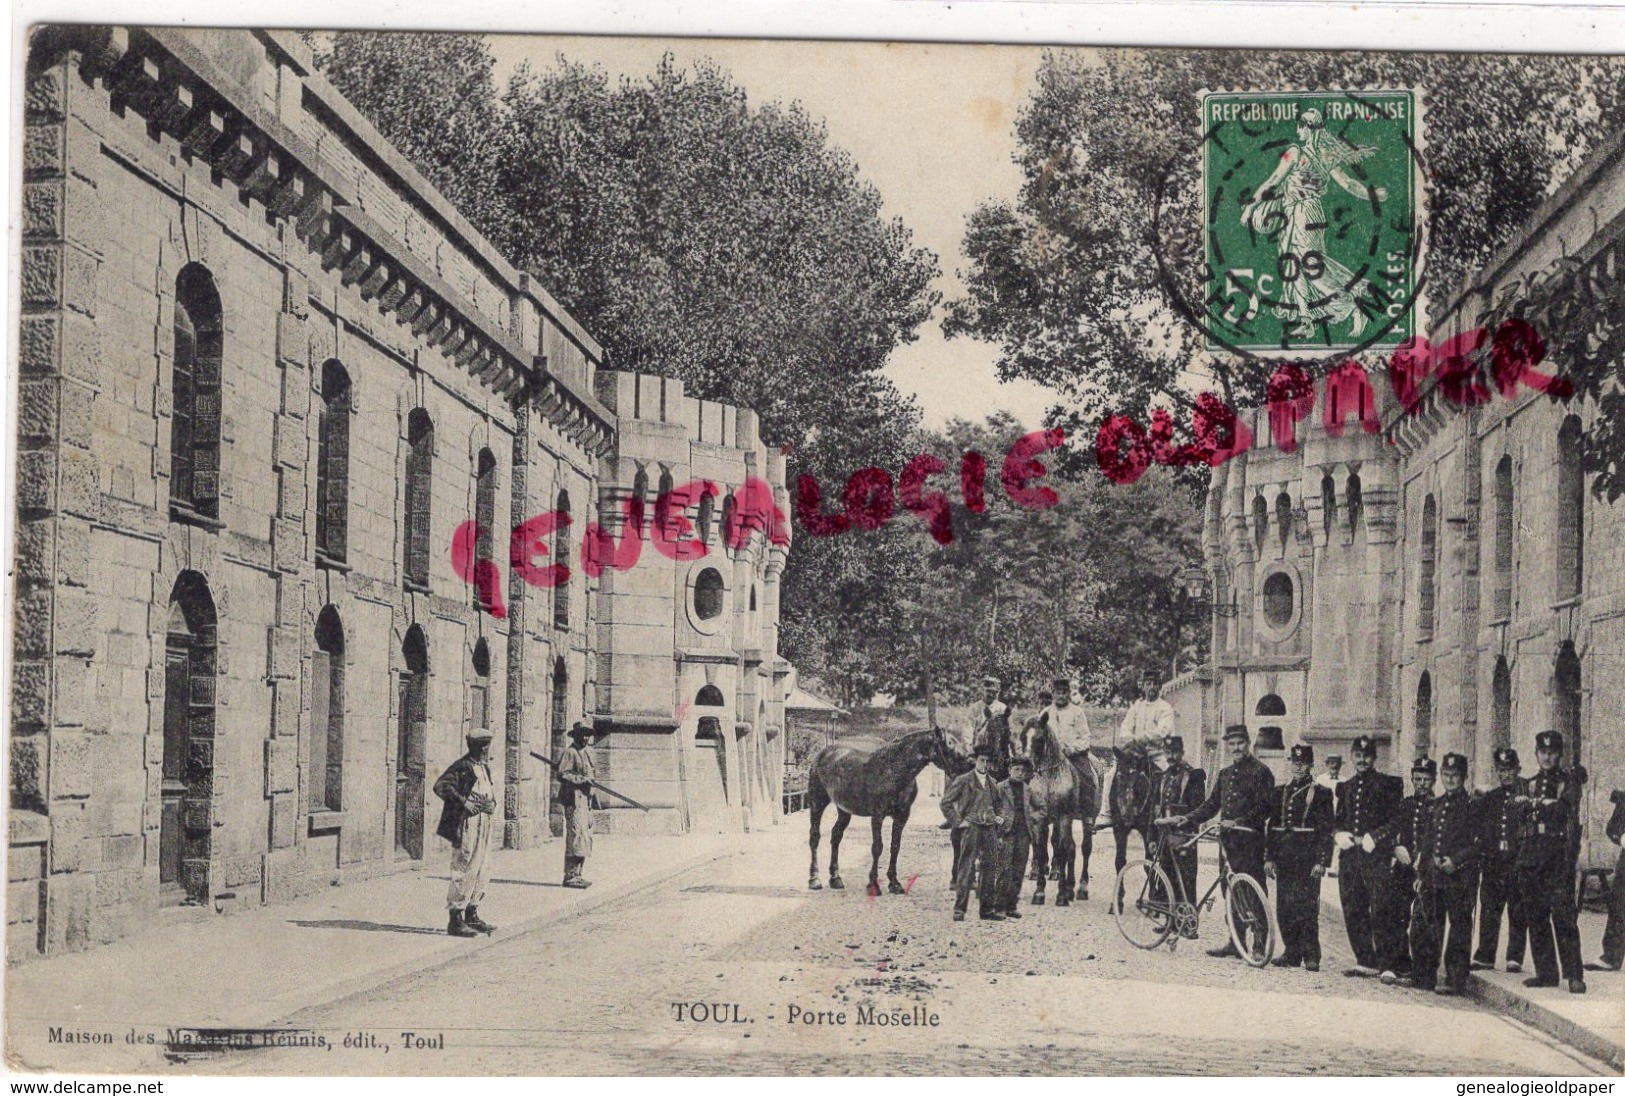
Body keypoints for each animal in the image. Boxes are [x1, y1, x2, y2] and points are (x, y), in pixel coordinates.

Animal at [809, 725, 949, 884]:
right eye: (947, 745)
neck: (892, 770)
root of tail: (822, 753)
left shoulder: (902, 816)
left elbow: (895, 846)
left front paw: (894, 882)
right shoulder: (877, 815)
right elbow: (877, 847)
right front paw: (873, 882)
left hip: (844, 810)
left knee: (836, 836)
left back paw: (835, 878)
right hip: (817, 803)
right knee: (814, 837)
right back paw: (814, 879)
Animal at [1014, 712, 1105, 897]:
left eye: (1039, 739)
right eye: (1022, 737)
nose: (1025, 765)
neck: (1050, 780)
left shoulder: (1061, 817)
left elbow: (1059, 846)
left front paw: (1056, 877)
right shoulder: (1037, 818)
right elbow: (1041, 847)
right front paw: (1039, 880)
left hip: (1088, 818)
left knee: (1085, 848)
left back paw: (1082, 886)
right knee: (1070, 847)